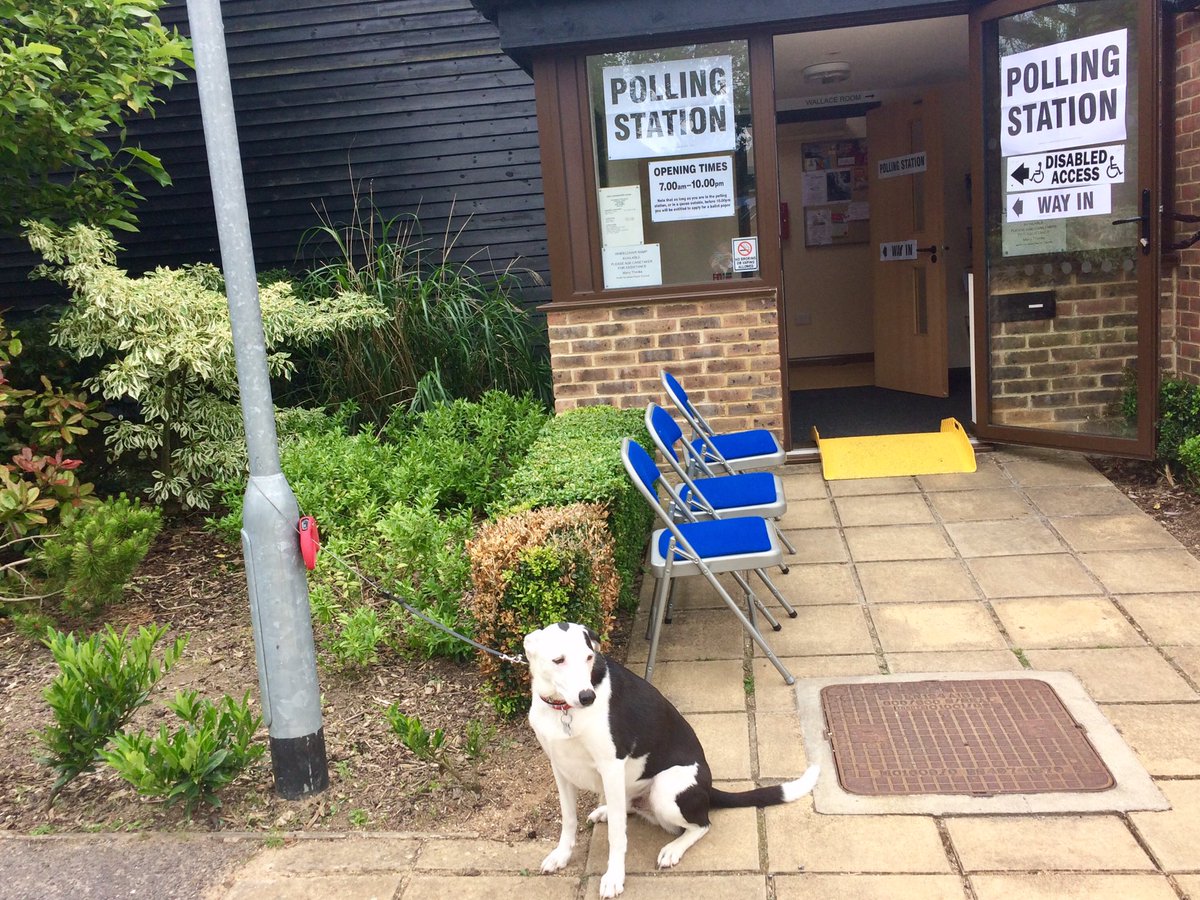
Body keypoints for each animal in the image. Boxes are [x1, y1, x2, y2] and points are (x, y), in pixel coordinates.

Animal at [523, 624, 816, 897]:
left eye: (588, 657)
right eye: (558, 660)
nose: (587, 697)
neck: (562, 709)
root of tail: (707, 788)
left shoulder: (611, 767)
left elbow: (617, 835)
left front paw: (614, 877)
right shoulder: (560, 768)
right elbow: (569, 819)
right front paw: (561, 855)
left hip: (665, 789)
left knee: (701, 824)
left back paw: (674, 848)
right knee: (626, 808)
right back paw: (606, 811)